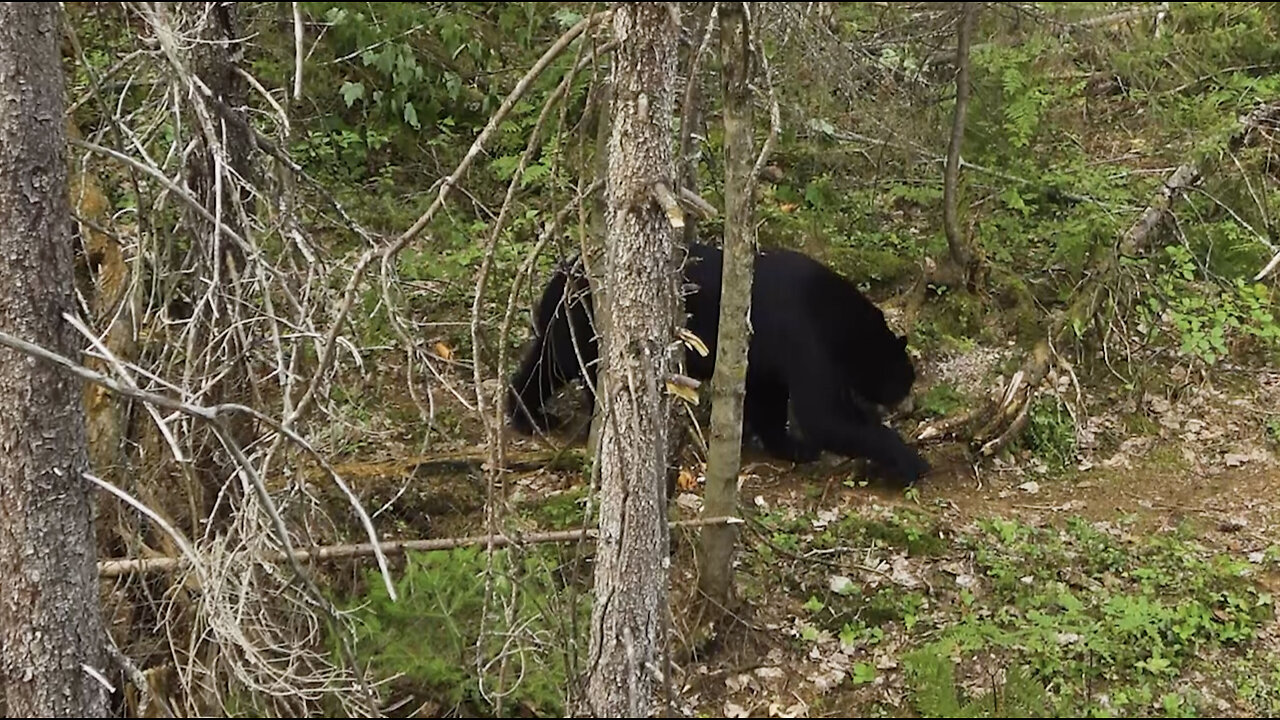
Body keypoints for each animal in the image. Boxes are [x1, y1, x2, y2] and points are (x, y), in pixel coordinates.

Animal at [506, 240, 931, 481]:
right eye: (906, 378)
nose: (911, 404)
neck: (836, 319)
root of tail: (562, 274)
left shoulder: (764, 356)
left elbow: (767, 398)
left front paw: (788, 445)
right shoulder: (801, 335)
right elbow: (822, 415)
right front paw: (909, 460)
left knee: (548, 362)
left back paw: (533, 413)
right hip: (584, 322)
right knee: (559, 364)